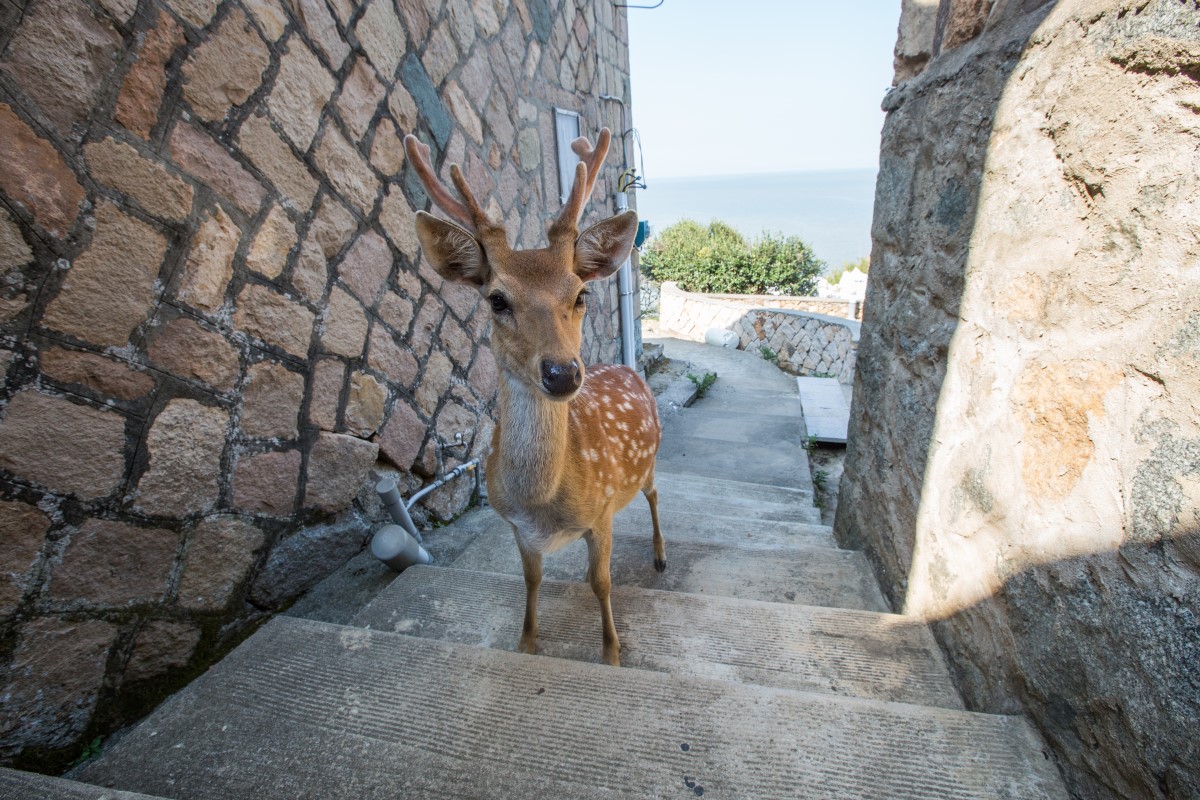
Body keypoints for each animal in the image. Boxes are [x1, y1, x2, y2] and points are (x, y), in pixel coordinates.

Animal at [408, 128, 662, 666]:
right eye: (497, 299)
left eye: (581, 294)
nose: (563, 373)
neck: (544, 502)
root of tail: (629, 368)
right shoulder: (516, 527)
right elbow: (532, 580)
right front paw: (527, 644)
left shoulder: (601, 513)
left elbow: (602, 583)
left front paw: (612, 653)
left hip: (650, 463)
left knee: (653, 495)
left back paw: (659, 554)